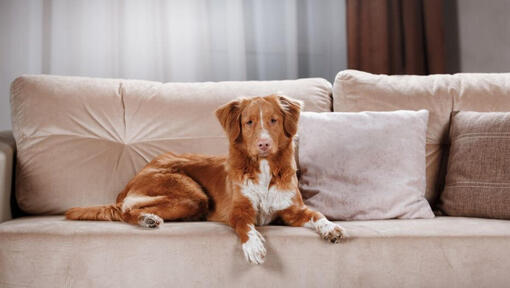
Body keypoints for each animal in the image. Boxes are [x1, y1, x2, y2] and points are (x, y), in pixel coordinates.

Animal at [65, 94, 344, 264]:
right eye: (249, 122)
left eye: (273, 120)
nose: (264, 144)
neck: (264, 169)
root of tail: (135, 178)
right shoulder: (238, 211)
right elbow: (245, 227)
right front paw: (253, 246)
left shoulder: (293, 210)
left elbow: (316, 215)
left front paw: (330, 227)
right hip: (190, 194)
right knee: (125, 209)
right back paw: (147, 219)